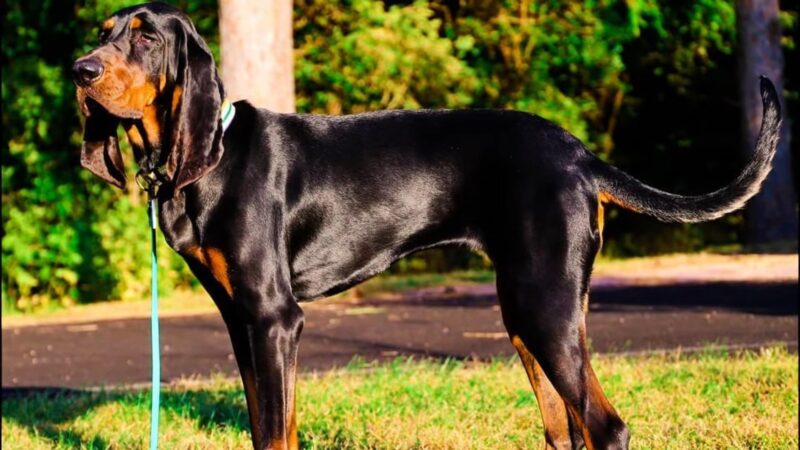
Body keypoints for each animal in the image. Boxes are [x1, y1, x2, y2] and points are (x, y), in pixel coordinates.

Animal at [72, 3, 780, 450]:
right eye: (104, 31)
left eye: (145, 37)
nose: (81, 71)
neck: (208, 157)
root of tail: (580, 154)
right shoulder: (241, 322)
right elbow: (265, 427)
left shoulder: (274, 319)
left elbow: (275, 433)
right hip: (531, 313)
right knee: (564, 427)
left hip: (542, 307)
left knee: (605, 427)